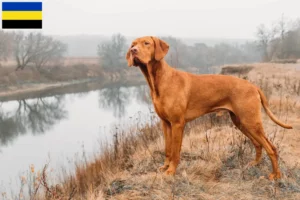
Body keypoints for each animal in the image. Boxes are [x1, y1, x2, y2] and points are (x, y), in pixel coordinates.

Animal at [125, 35, 292, 180]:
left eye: (146, 43)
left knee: (271, 148)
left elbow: (175, 151)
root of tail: (254, 86)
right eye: (133, 44)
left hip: (251, 122)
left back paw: (276, 175)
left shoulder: (177, 124)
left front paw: (171, 171)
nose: (133, 51)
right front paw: (165, 167)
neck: (159, 80)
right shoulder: (165, 123)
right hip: (241, 122)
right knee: (258, 144)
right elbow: (167, 149)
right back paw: (254, 164)